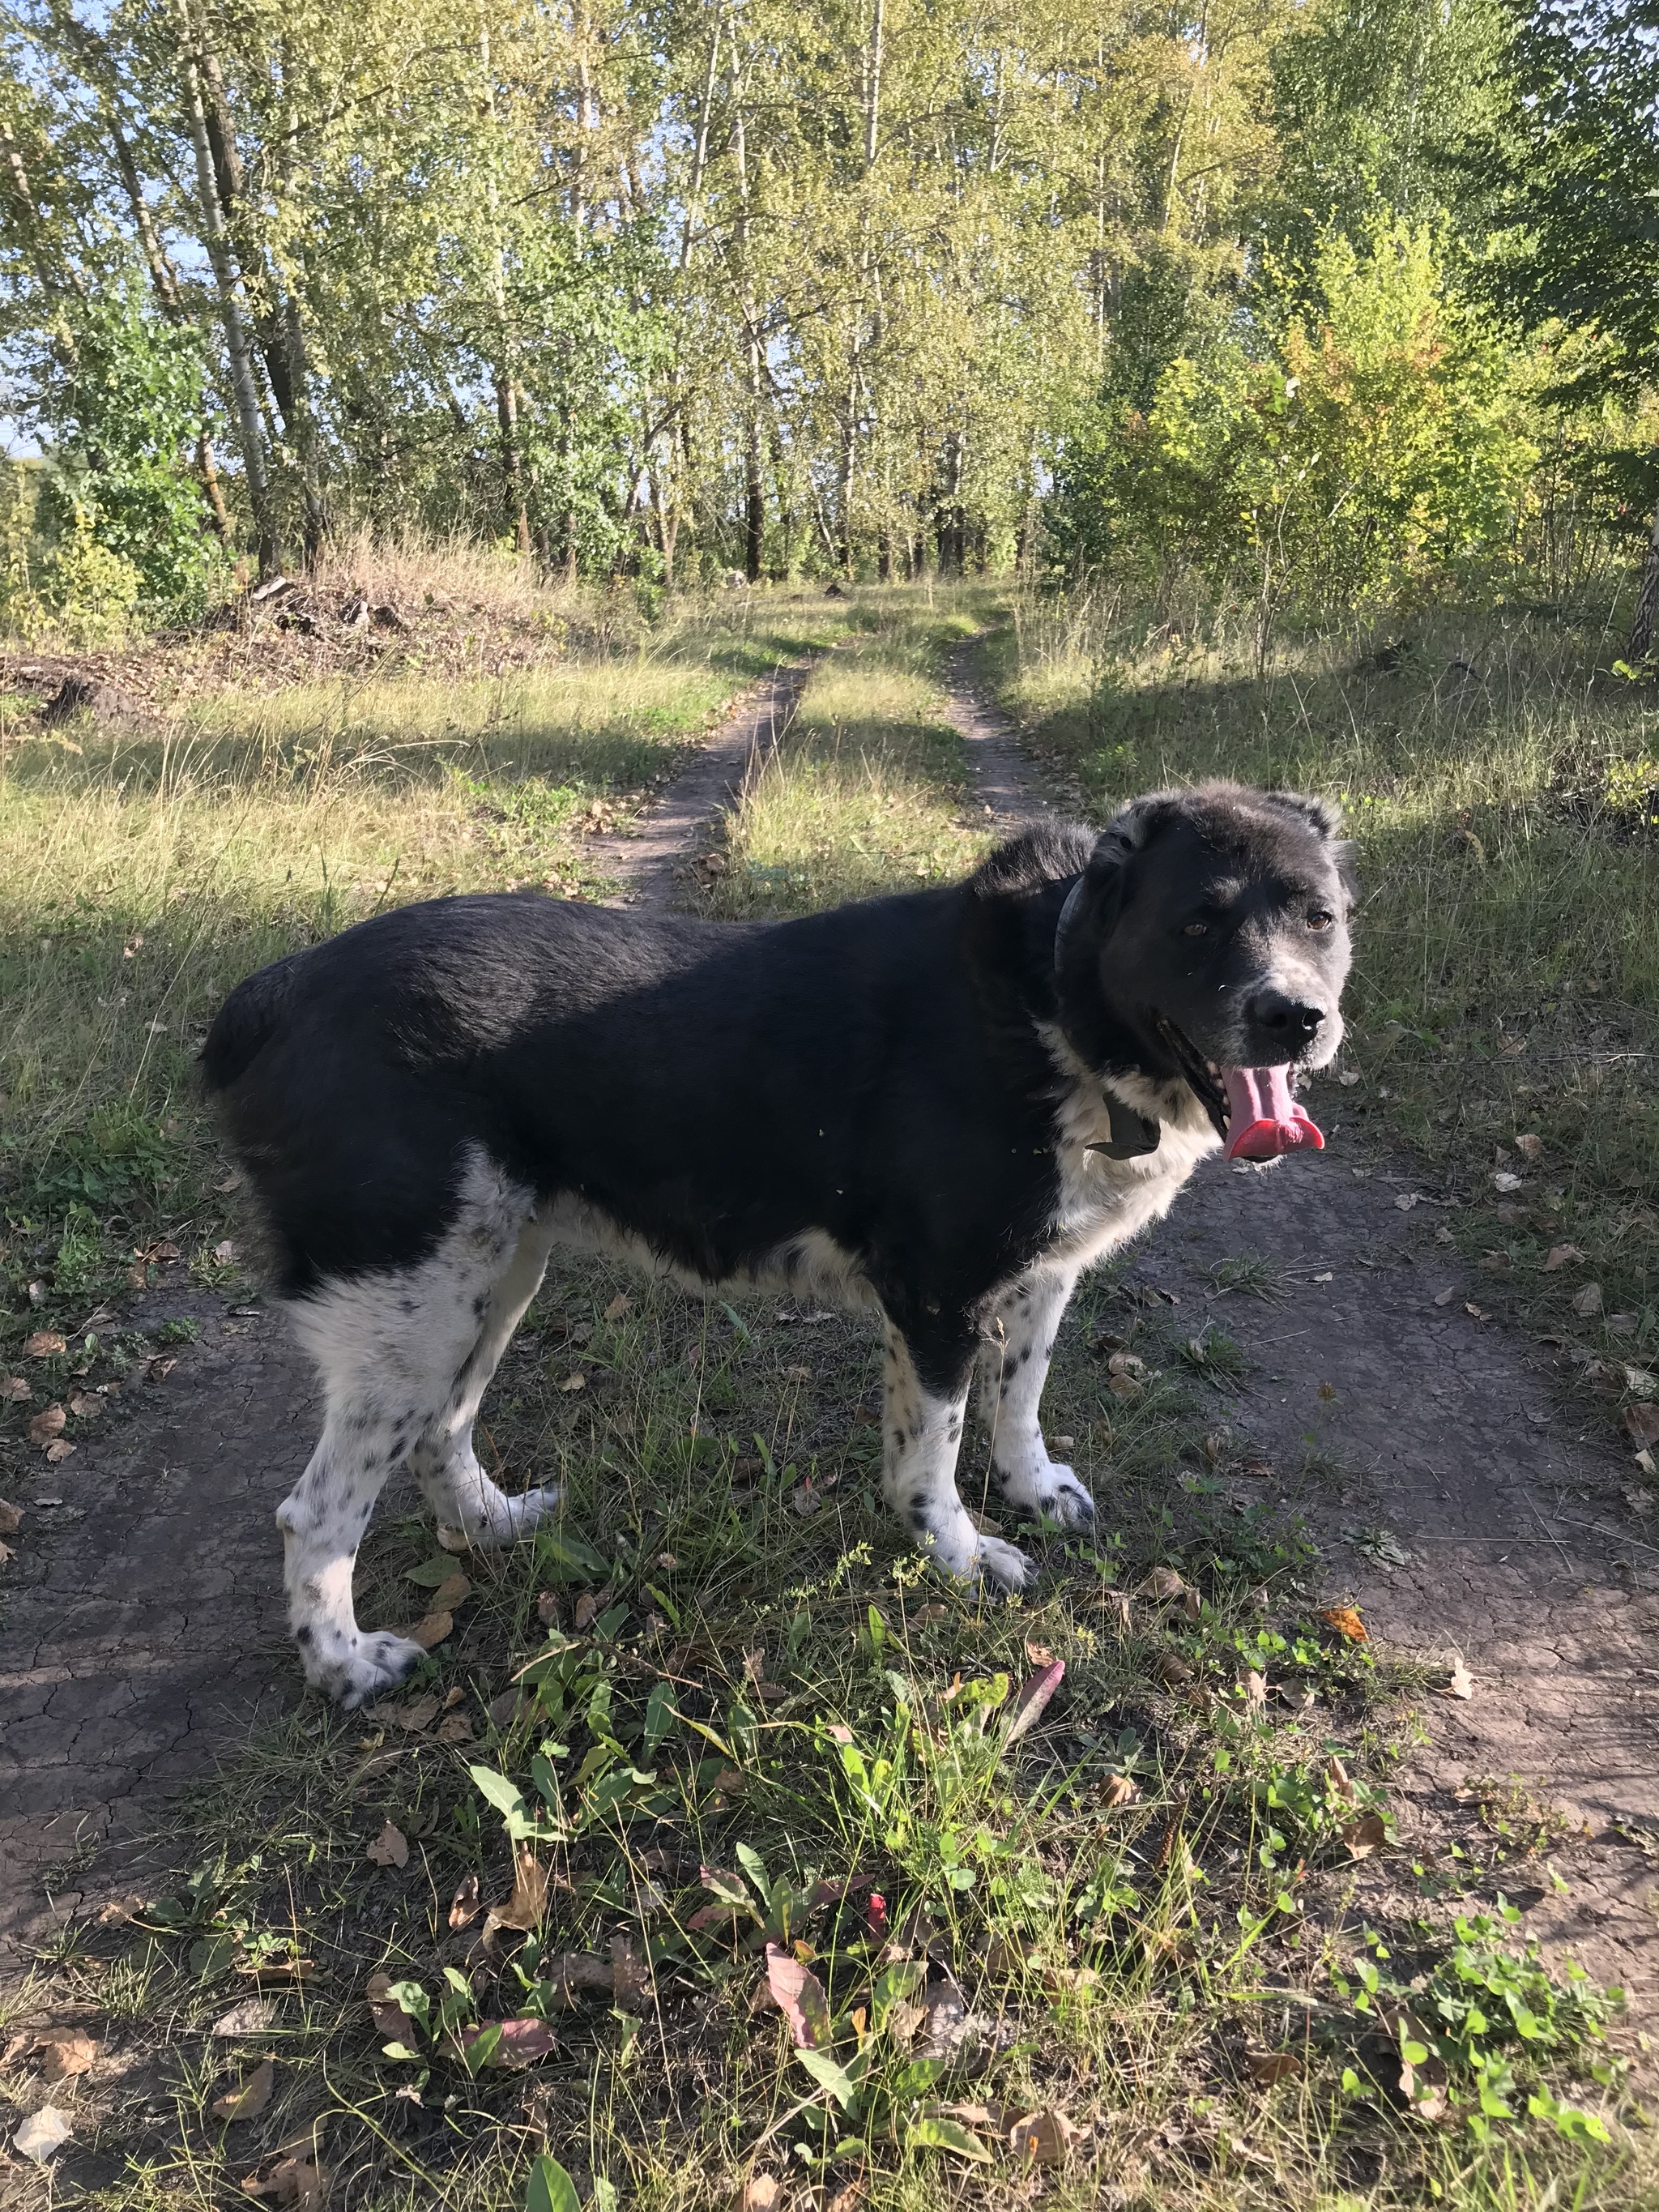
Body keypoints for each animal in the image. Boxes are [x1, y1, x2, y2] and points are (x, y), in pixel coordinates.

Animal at [204, 787, 1354, 1698]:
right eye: (1196, 923)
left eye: (1321, 918)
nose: (1296, 1018)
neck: (1054, 998)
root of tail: (276, 990)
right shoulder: (936, 1295)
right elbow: (931, 1452)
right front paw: (958, 1554)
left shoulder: (1032, 1280)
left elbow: (1017, 1399)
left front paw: (1027, 1493)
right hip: (413, 1301)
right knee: (316, 1514)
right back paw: (346, 1667)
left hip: (488, 1273)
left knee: (443, 1429)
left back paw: (493, 1527)